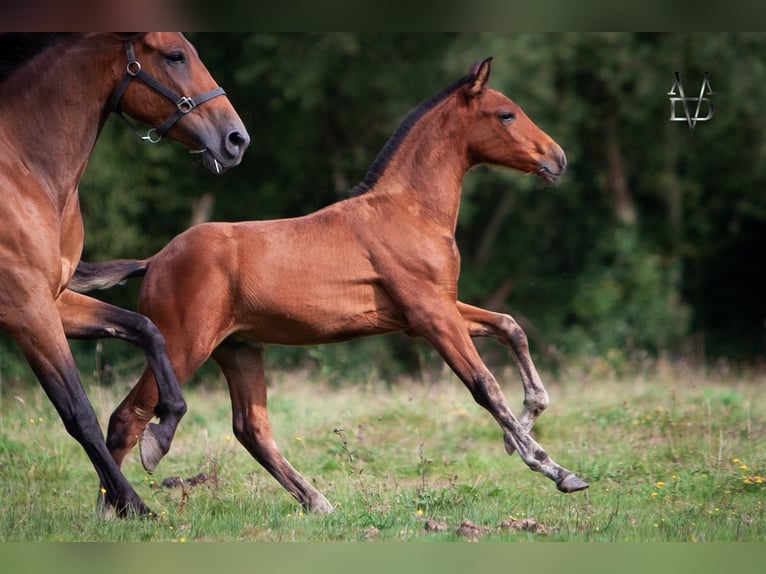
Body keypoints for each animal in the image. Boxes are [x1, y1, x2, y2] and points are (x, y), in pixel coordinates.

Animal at [0, 31, 249, 516]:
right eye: (175, 55)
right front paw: (132, 504)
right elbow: (78, 412)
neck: (25, 171)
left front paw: (163, 428)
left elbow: (145, 328)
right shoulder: (26, 310)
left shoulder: (54, 300)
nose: (236, 139)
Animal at [76, 58, 588, 516]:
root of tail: (155, 261)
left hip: (239, 349)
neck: (408, 210)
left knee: (251, 429)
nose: (558, 157)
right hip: (184, 344)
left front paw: (523, 426)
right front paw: (552, 467)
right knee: (128, 416)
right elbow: (486, 386)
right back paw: (114, 509)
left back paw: (318, 502)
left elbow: (509, 326)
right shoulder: (430, 314)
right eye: (506, 114)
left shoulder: (430, 311)